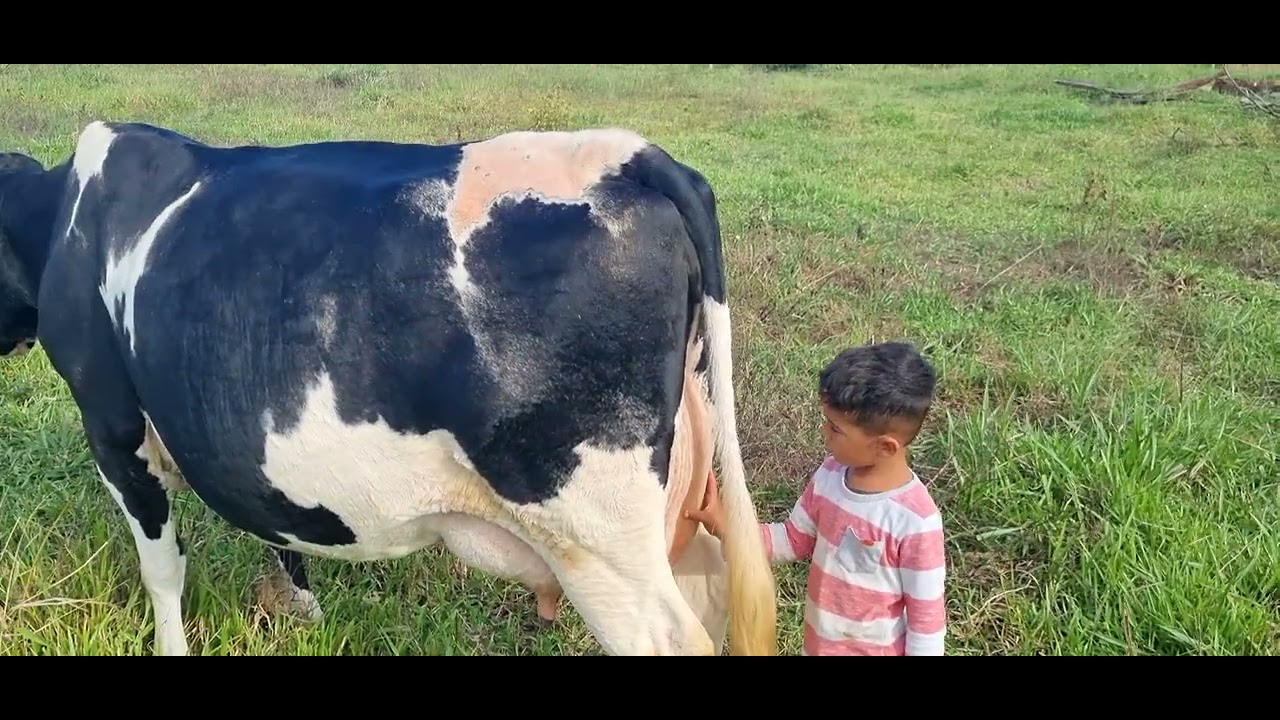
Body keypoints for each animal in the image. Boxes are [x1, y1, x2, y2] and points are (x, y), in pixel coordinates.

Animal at [0, 120, 777, 656]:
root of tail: (632, 154)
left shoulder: (111, 422)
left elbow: (162, 565)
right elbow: (271, 517)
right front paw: (303, 608)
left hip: (596, 530)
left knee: (668, 634)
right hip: (679, 498)